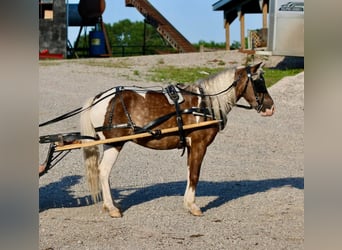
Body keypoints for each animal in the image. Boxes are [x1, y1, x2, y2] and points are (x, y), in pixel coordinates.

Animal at [79, 62, 274, 217]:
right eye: (258, 82)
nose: (271, 107)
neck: (205, 104)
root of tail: (99, 98)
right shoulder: (199, 144)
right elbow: (195, 174)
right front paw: (192, 206)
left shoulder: (191, 146)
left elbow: (189, 173)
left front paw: (187, 203)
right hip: (115, 143)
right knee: (104, 171)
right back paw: (111, 208)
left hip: (109, 144)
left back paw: (110, 204)